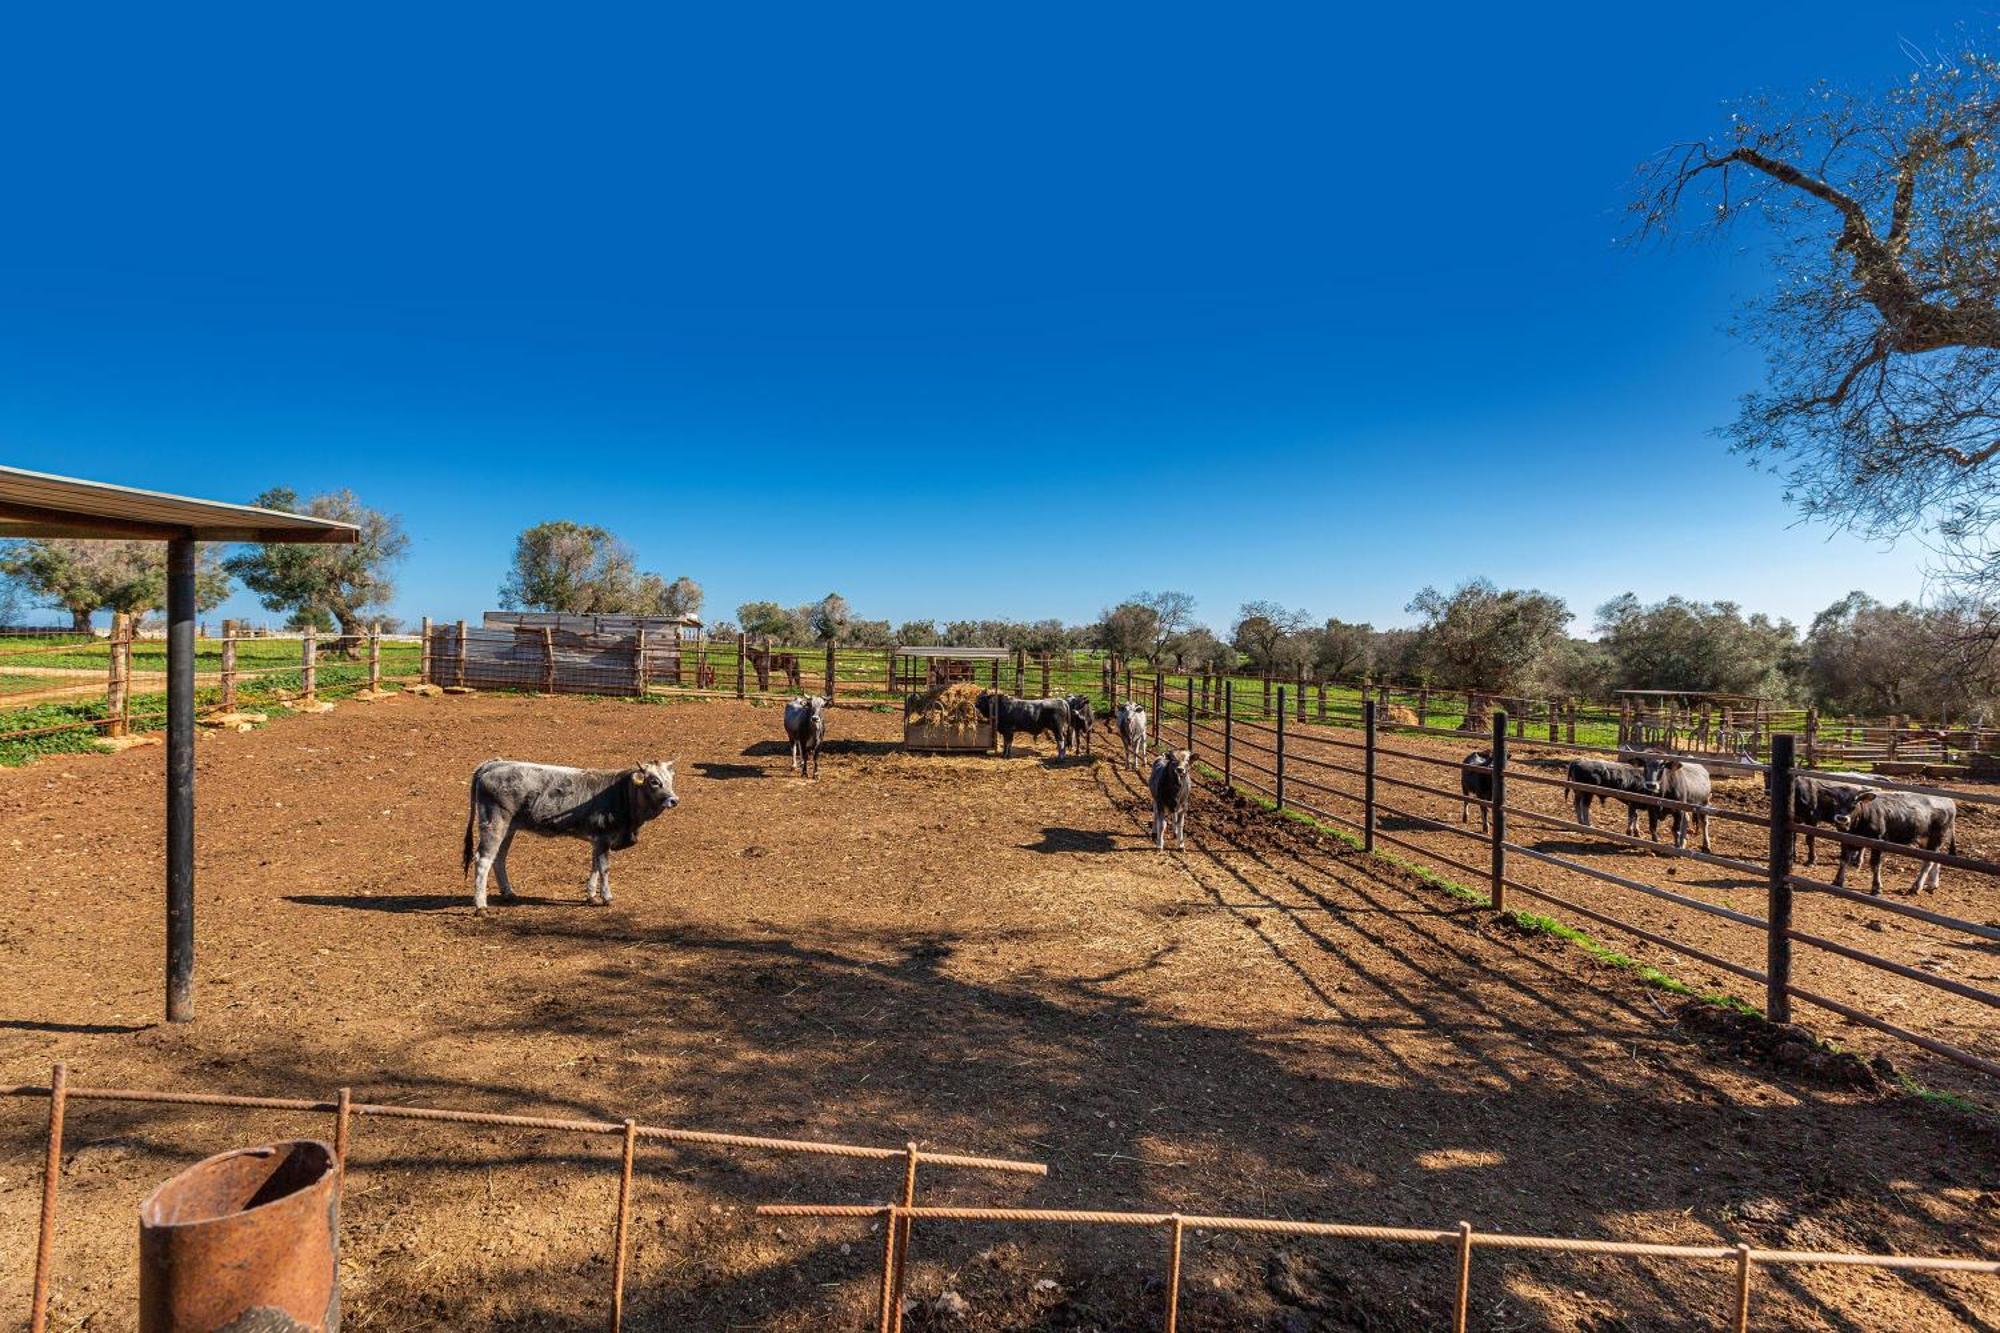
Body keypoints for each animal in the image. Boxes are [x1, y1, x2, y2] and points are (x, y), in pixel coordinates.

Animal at [460, 752, 680, 908]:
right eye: (654, 781)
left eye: (670, 780)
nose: (674, 800)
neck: (620, 793)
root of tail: (494, 764)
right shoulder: (603, 837)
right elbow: (604, 868)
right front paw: (607, 897)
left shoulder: (597, 840)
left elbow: (594, 866)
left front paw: (591, 896)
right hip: (494, 823)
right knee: (483, 859)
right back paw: (481, 906)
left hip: (509, 828)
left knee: (499, 858)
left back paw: (509, 893)